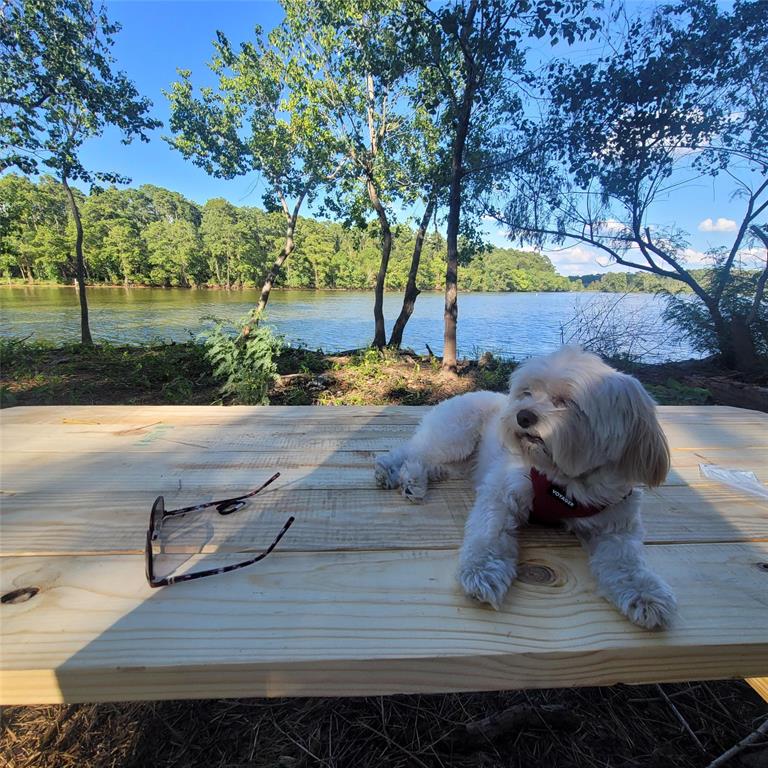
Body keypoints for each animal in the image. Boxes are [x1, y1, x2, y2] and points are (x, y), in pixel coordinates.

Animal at [376, 346, 676, 632]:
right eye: (527, 392)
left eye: (566, 401)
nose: (523, 416)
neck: (566, 482)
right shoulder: (502, 489)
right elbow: (490, 532)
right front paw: (482, 571)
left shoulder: (616, 524)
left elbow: (626, 562)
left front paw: (645, 594)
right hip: (456, 436)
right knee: (413, 451)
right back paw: (391, 471)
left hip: (461, 462)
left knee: (429, 463)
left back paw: (413, 481)